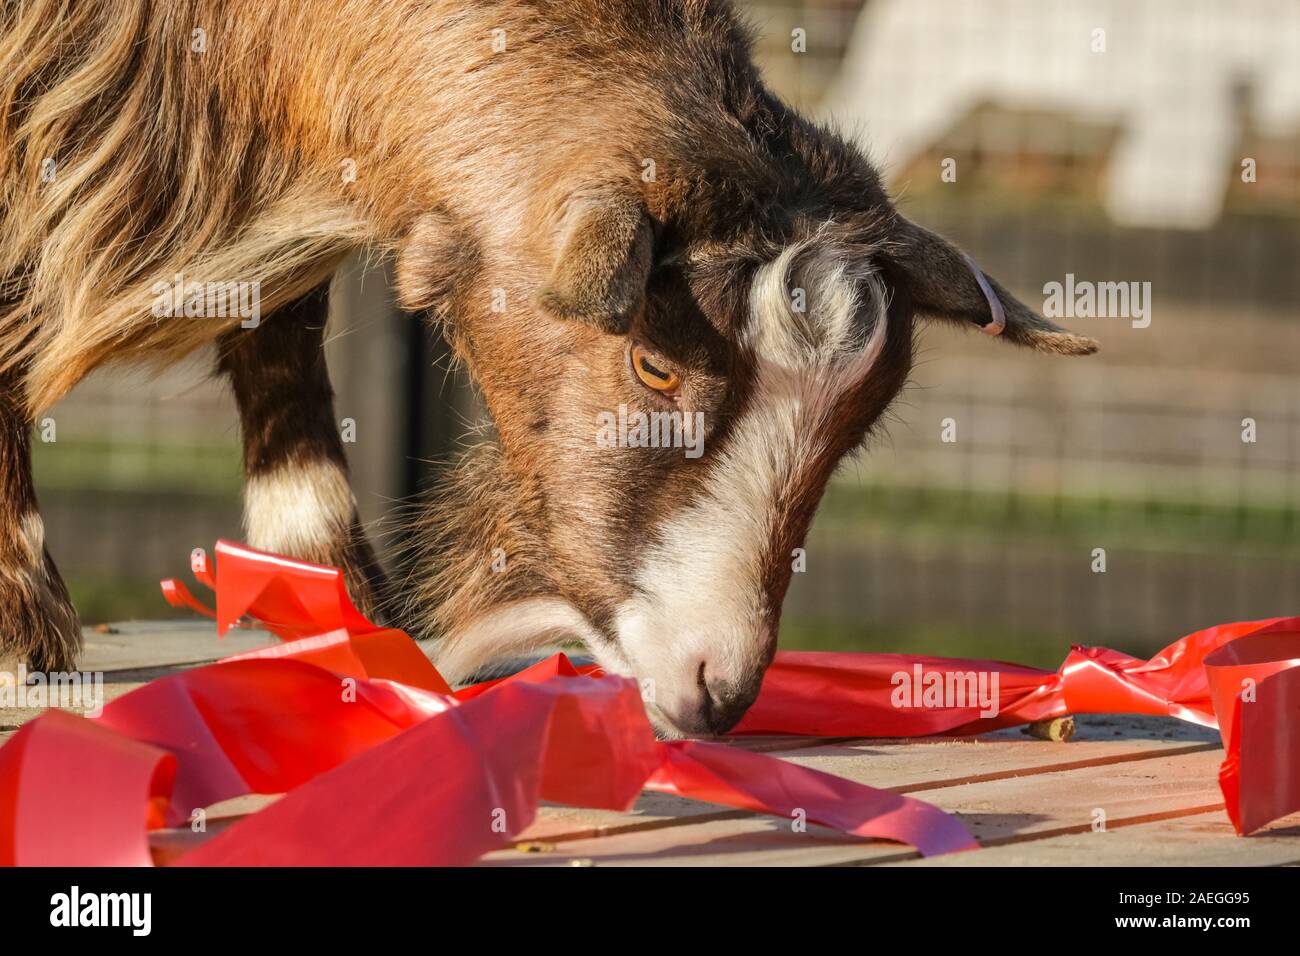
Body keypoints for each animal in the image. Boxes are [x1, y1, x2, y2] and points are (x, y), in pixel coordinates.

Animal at [0, 0, 1097, 738]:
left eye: (857, 421)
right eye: (655, 366)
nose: (716, 688)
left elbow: (279, 327)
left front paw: (336, 606)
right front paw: (20, 633)